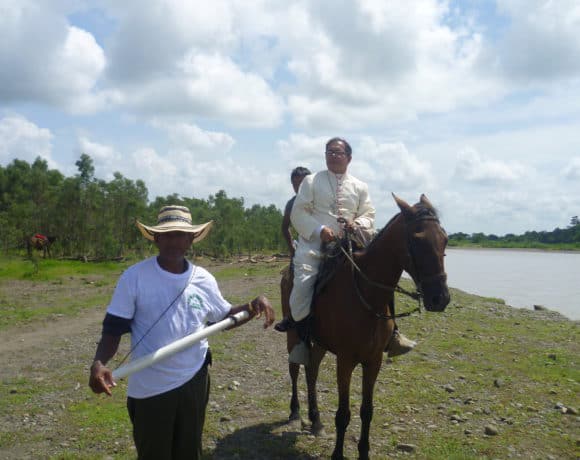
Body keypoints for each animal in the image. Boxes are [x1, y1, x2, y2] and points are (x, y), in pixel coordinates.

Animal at [280, 195, 448, 460]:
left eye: (445, 239)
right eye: (417, 239)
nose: (440, 298)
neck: (366, 294)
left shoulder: (373, 361)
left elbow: (366, 411)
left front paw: (364, 453)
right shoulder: (345, 361)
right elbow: (343, 414)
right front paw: (338, 454)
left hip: (319, 343)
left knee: (312, 371)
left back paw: (315, 419)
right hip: (292, 335)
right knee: (295, 369)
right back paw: (295, 411)